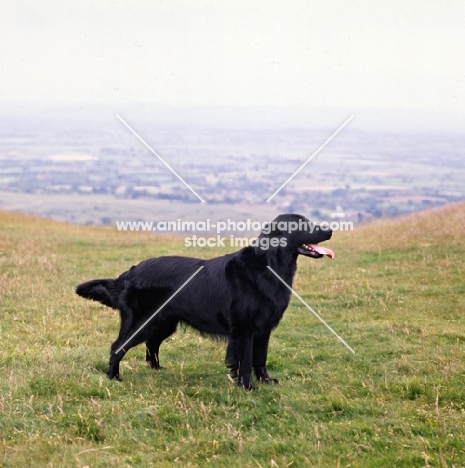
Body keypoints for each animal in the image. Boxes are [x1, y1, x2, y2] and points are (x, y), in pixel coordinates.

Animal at [75, 214, 334, 390]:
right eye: (301, 224)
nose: (330, 229)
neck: (270, 267)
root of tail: (130, 272)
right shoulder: (245, 329)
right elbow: (246, 361)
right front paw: (247, 386)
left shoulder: (264, 328)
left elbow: (260, 359)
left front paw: (266, 381)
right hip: (142, 322)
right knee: (117, 347)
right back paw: (113, 377)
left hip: (163, 323)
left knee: (151, 345)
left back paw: (157, 369)